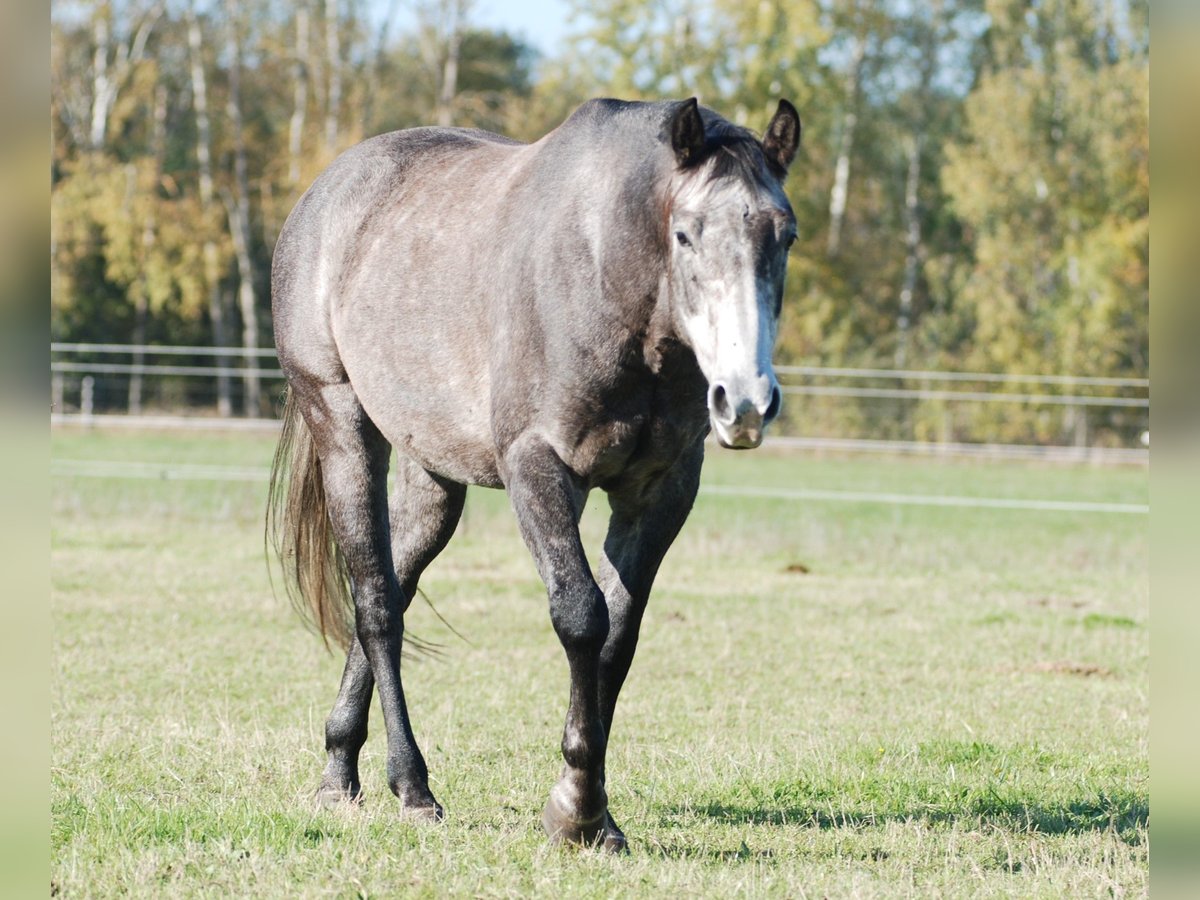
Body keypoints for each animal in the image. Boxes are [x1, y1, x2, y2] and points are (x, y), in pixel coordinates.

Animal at [267, 98, 801, 854]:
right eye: (684, 235)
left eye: (785, 236)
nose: (746, 402)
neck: (607, 275)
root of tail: (325, 192)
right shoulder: (538, 467)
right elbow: (580, 617)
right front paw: (576, 810)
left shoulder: (661, 490)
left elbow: (618, 639)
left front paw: (595, 810)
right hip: (342, 424)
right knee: (375, 604)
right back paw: (410, 787)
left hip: (433, 477)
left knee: (396, 588)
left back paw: (339, 766)